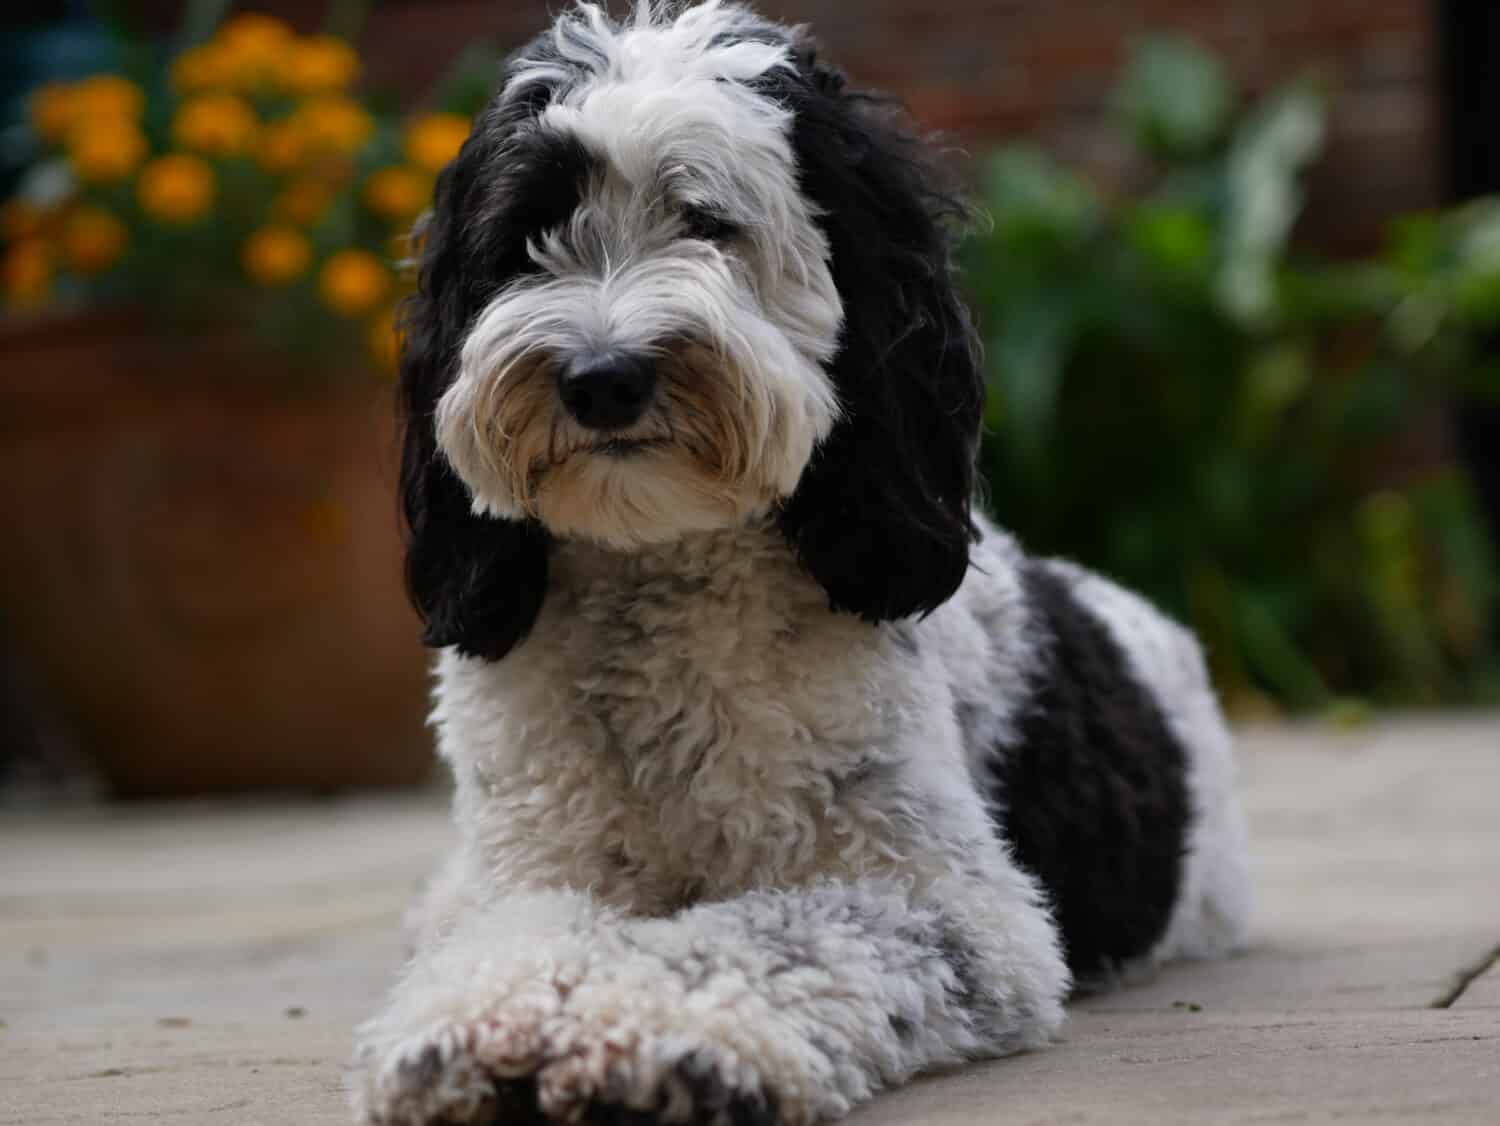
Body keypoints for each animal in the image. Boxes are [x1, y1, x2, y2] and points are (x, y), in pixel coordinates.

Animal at [348, 4, 1242, 1121]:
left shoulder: (950, 905)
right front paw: (480, 1026)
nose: (601, 378)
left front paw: (646, 1035)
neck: (662, 578)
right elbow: (505, 935)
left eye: (707, 221)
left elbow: (762, 938)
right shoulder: (536, 863)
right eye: (524, 238)